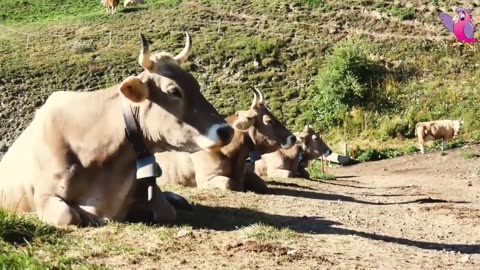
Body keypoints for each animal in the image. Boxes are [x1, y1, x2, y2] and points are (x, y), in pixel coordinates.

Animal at [0, 31, 234, 228]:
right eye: (174, 91)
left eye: (196, 85)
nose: (227, 131)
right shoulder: (44, 195)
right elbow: (68, 216)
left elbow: (167, 211)